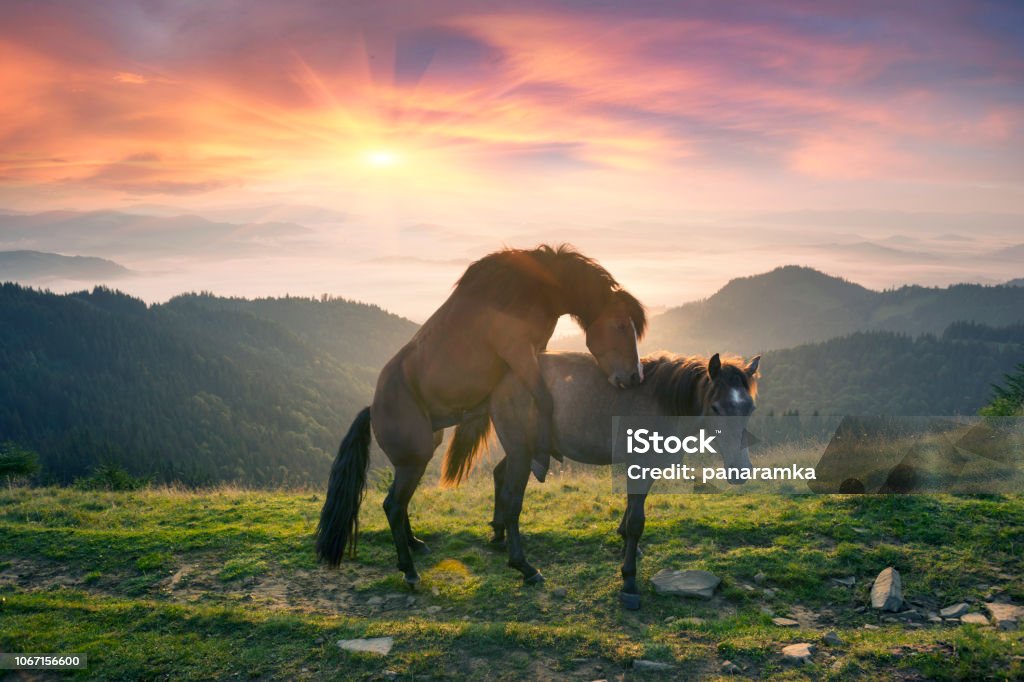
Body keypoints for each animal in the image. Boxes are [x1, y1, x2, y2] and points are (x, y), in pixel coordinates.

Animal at [315, 244, 643, 585]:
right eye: (621, 325)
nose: (635, 377)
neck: (532, 288)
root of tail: (373, 408)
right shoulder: (519, 352)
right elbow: (544, 400)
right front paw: (541, 456)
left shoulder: (530, 354)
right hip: (413, 458)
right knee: (393, 505)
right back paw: (409, 570)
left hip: (419, 456)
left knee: (400, 502)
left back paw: (415, 543)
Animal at [446, 350, 761, 606]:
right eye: (717, 408)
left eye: (750, 408)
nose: (739, 469)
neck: (662, 401)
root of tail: (501, 381)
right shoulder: (641, 463)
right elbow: (636, 522)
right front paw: (629, 581)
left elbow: (632, 510)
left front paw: (625, 543)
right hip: (521, 452)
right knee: (513, 501)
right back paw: (524, 566)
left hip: (519, 451)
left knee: (499, 476)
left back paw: (498, 533)